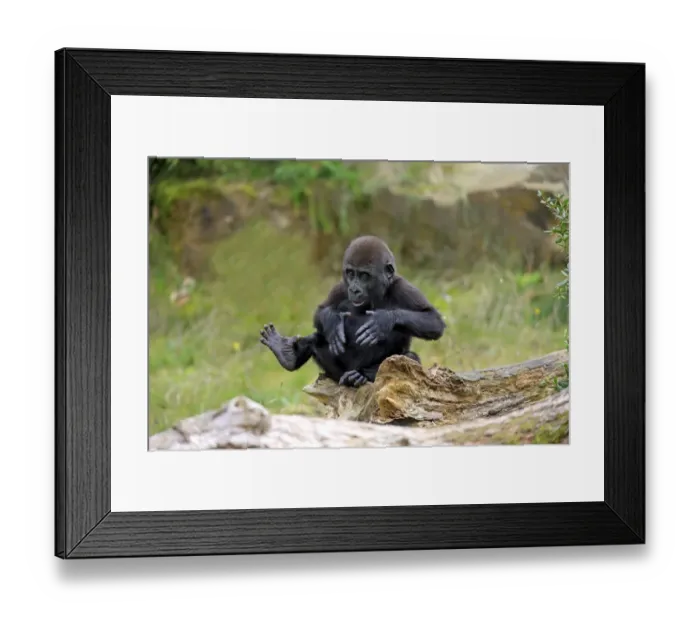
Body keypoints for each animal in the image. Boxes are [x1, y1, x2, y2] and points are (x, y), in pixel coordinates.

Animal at [260, 235, 446, 388]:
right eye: (350, 273)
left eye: (364, 275)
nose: (354, 289)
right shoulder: (341, 287)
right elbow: (321, 311)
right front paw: (332, 322)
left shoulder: (403, 287)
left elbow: (433, 320)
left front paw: (383, 320)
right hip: (337, 374)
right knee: (317, 338)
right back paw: (288, 355)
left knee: (409, 357)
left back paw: (362, 375)